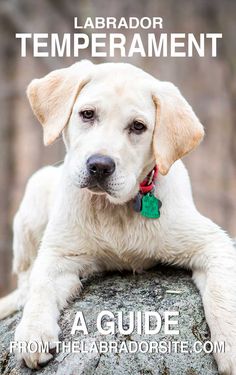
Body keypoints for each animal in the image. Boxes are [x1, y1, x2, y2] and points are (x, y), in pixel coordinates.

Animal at [0, 61, 236, 374]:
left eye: (138, 126)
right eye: (87, 114)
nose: (99, 166)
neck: (113, 209)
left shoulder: (214, 243)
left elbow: (223, 294)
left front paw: (230, 346)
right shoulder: (59, 253)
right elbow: (41, 283)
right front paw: (32, 333)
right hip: (36, 192)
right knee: (25, 273)